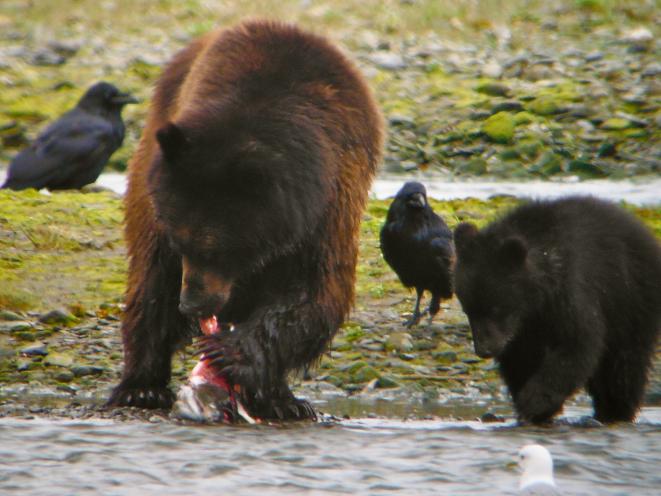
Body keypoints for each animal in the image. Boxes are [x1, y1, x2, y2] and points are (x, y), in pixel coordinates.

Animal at [107, 20, 384, 420]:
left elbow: (315, 291)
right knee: (151, 281)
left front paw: (231, 353)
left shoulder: (330, 204)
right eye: (181, 241)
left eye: (217, 249)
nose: (192, 304)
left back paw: (280, 399)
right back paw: (141, 386)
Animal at [453, 196, 661, 424]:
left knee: (623, 365)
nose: (484, 349)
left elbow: (577, 343)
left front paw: (533, 401)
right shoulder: (522, 331)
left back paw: (616, 410)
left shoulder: (569, 291)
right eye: (468, 310)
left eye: (496, 307)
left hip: (630, 298)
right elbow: (519, 358)